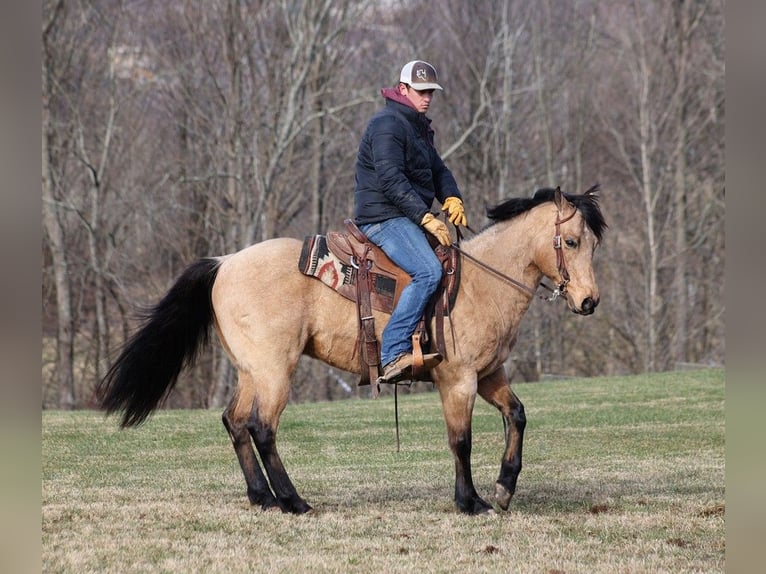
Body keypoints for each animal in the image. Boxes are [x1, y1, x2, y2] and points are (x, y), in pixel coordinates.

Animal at [99, 186, 608, 516]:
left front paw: (504, 488)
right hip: (274, 370)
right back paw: (293, 501)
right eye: (571, 241)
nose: (589, 301)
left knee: (235, 421)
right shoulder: (458, 379)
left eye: (593, 244)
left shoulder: (489, 374)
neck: (481, 283)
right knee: (262, 428)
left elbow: (516, 416)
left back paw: (262, 497)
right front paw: (471, 502)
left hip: (251, 370)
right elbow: (460, 440)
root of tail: (224, 263)